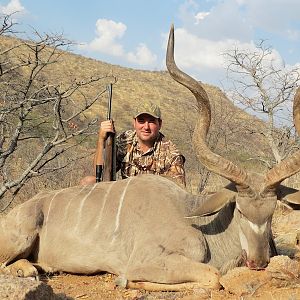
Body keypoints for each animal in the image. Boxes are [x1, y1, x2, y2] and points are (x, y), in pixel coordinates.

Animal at [0, 24, 300, 292]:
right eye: (240, 209)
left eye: (271, 212)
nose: (259, 262)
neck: (197, 221)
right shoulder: (146, 261)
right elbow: (213, 276)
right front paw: (126, 282)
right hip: (21, 237)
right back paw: (27, 269)